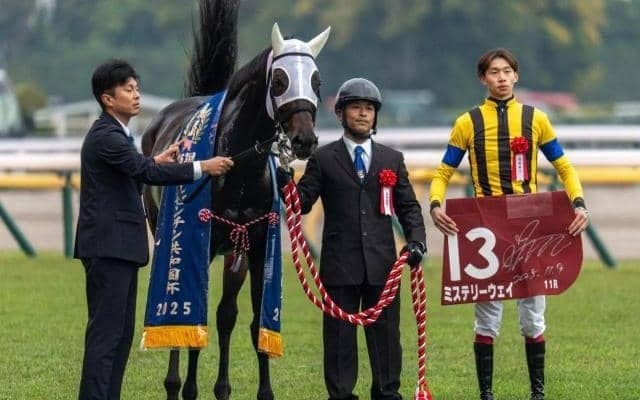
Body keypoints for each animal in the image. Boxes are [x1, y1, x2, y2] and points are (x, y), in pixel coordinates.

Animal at [140, 1, 330, 399]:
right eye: (280, 81)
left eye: (317, 81)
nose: (305, 140)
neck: (239, 167)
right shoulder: (201, 243)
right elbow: (194, 317)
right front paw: (189, 387)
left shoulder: (256, 247)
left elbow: (250, 319)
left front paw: (250, 390)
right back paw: (174, 384)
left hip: (235, 252)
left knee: (226, 313)